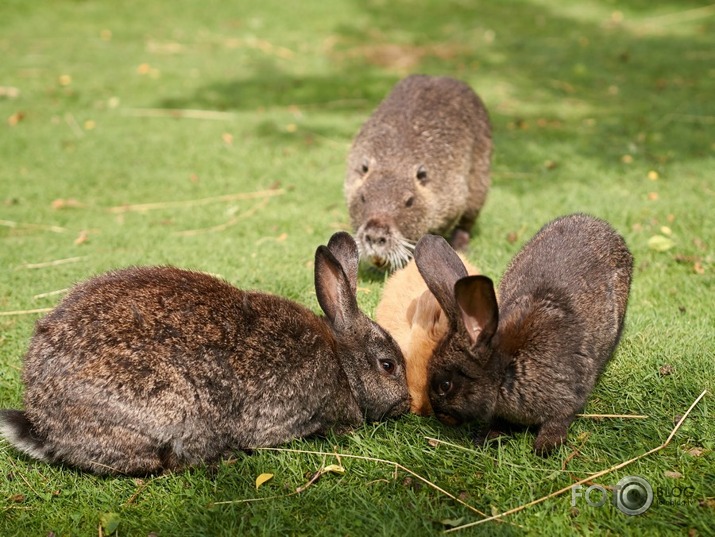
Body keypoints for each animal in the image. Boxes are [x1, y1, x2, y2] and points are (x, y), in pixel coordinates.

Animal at [416, 213, 636, 452]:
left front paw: (544, 447)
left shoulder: (567, 397)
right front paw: (487, 436)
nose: (440, 417)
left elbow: (559, 420)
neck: (506, 370)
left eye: (445, 386)